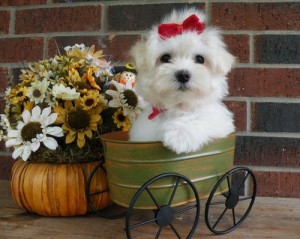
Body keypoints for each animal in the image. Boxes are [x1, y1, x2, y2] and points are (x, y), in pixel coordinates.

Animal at [127, 8, 236, 154]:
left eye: (200, 59)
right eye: (165, 58)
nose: (183, 75)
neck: (179, 106)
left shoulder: (218, 122)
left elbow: (197, 119)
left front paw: (180, 136)